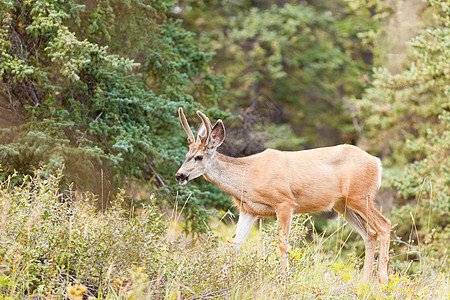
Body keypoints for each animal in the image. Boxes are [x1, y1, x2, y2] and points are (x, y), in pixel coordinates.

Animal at [175, 108, 390, 284]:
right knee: (370, 234)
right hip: (342, 204)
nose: (179, 175)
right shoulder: (249, 210)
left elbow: (282, 244)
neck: (249, 177)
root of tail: (377, 162)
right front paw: (219, 278)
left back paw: (382, 280)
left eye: (199, 157)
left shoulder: (284, 202)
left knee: (384, 225)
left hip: (360, 195)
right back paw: (364, 282)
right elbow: (234, 245)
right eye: (186, 154)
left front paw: (284, 279)